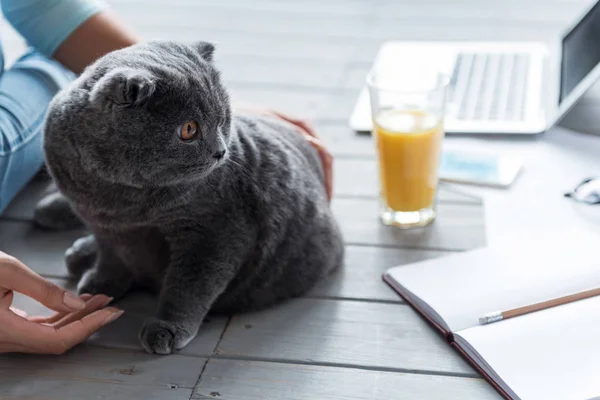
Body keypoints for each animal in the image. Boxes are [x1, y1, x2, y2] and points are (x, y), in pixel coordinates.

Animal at [41, 39, 342, 354]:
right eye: (189, 130)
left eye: (223, 118)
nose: (221, 151)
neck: (121, 200)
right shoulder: (103, 226)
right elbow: (112, 258)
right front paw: (102, 281)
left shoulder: (214, 232)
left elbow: (189, 286)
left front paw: (167, 328)